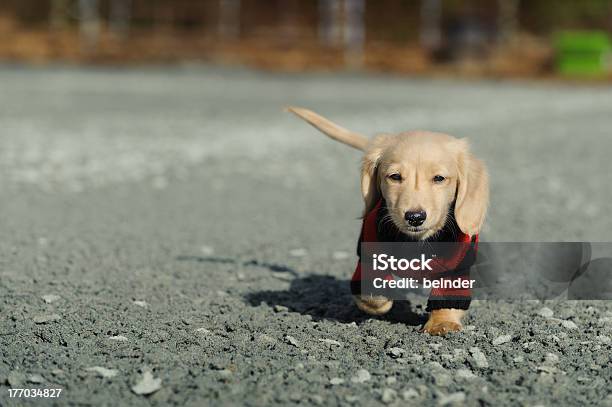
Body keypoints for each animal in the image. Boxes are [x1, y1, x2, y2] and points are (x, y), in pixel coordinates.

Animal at [290, 107, 490, 336]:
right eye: (395, 176)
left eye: (439, 178)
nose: (415, 217)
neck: (416, 242)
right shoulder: (370, 252)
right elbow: (373, 291)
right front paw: (380, 303)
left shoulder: (456, 264)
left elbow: (448, 296)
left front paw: (442, 323)